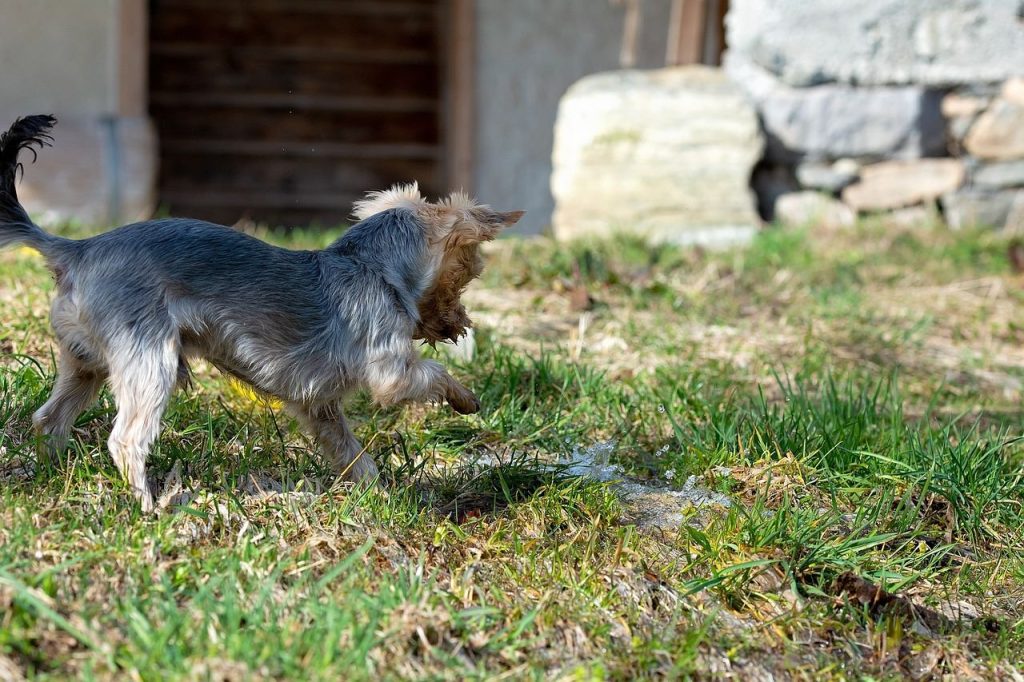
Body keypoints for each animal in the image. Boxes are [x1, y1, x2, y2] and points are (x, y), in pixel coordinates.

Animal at [0, 115, 524, 509]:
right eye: (467, 272)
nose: (462, 323)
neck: (372, 264)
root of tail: (76, 250)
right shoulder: (389, 370)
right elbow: (430, 374)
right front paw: (466, 399)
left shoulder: (319, 406)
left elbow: (351, 452)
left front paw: (376, 493)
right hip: (149, 355)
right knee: (126, 438)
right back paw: (148, 505)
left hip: (84, 361)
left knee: (50, 417)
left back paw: (49, 475)